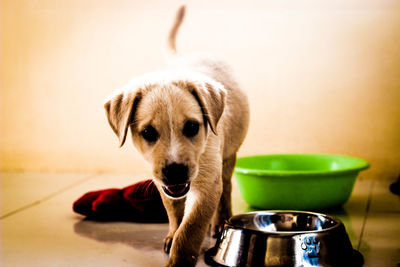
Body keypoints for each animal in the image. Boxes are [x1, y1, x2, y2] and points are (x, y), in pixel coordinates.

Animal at [104, 6, 250, 267]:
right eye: (148, 132)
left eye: (192, 127)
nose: (175, 171)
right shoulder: (165, 185)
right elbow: (175, 212)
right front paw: (173, 234)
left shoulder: (208, 184)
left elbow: (191, 228)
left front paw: (180, 259)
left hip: (228, 158)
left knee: (226, 189)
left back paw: (220, 222)